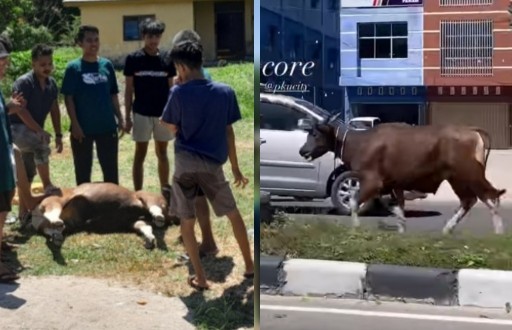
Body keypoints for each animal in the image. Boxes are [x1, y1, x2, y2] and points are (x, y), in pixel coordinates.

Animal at [27, 182, 178, 249]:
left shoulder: (135, 222)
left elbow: (146, 228)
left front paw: (150, 238)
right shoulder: (144, 197)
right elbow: (154, 209)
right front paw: (158, 217)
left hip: (64, 224)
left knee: (52, 230)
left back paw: (57, 237)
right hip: (56, 202)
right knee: (52, 214)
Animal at [298, 114, 506, 236]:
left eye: (315, 134)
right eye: (309, 133)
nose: (302, 150)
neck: (360, 142)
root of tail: (471, 130)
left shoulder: (371, 180)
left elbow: (355, 201)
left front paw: (355, 227)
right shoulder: (393, 184)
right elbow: (396, 206)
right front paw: (401, 228)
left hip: (469, 174)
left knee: (490, 195)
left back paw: (498, 230)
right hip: (456, 178)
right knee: (469, 200)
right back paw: (448, 228)